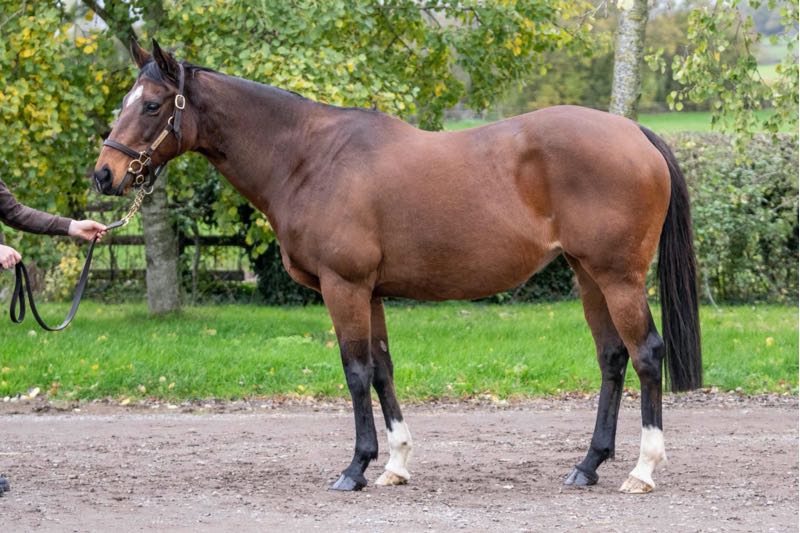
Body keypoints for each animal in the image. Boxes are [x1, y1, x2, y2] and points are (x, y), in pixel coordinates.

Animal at [92, 39, 701, 494]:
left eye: (151, 105)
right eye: (126, 100)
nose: (104, 175)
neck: (308, 159)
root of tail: (633, 132)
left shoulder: (344, 287)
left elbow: (356, 371)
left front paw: (355, 467)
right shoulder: (373, 292)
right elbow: (383, 368)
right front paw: (396, 464)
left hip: (618, 277)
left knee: (647, 354)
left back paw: (643, 470)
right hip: (586, 274)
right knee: (612, 357)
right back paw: (588, 465)